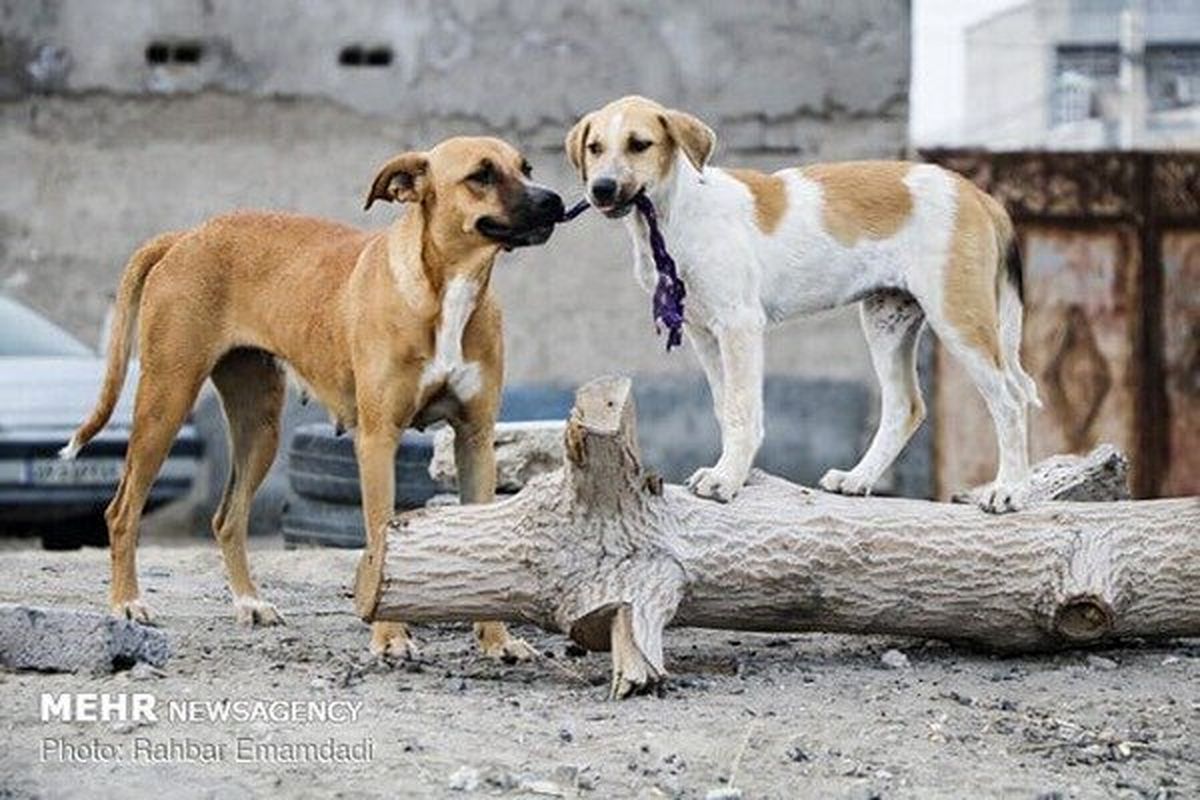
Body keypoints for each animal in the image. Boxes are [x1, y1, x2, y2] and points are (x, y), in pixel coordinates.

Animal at [57, 137, 561, 662]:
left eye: (526, 168)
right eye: (481, 175)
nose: (554, 201)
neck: (448, 288)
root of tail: (186, 236)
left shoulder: (476, 439)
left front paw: (497, 640)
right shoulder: (378, 441)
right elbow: (380, 536)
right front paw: (390, 637)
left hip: (260, 429)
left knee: (227, 517)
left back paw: (250, 602)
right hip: (165, 404)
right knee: (122, 511)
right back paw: (127, 603)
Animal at [566, 95, 1036, 513]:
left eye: (639, 144)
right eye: (595, 148)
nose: (601, 189)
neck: (676, 213)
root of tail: (977, 194)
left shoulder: (739, 325)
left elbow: (742, 409)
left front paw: (727, 479)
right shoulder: (704, 332)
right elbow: (724, 406)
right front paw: (730, 471)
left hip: (958, 318)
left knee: (1010, 402)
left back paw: (1009, 491)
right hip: (886, 321)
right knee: (906, 405)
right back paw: (859, 478)